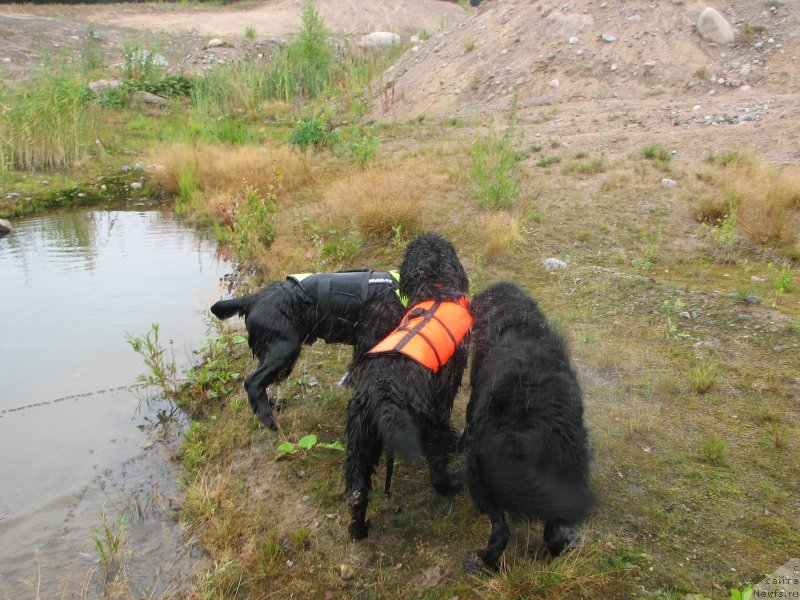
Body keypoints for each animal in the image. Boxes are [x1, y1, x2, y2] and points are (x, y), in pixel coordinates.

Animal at [209, 270, 406, 428]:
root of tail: (253, 298)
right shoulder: (371, 342)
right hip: (285, 349)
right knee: (253, 381)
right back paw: (269, 419)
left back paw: (275, 404)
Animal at [342, 233, 468, 540]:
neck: (436, 286)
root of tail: (384, 392)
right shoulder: (447, 384)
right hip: (424, 424)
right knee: (437, 472)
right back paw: (453, 483)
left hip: (360, 440)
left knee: (358, 492)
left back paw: (359, 529)